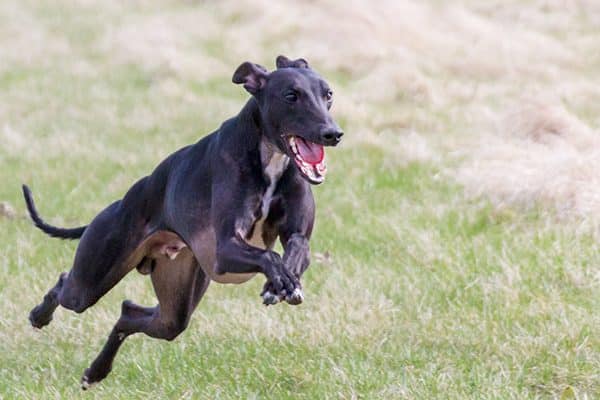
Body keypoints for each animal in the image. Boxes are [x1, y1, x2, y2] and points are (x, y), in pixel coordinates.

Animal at [23, 54, 342, 390]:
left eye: (328, 94)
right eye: (291, 95)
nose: (333, 134)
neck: (268, 158)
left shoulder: (297, 235)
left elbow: (295, 249)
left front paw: (282, 284)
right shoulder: (226, 248)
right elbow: (269, 255)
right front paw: (278, 281)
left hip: (174, 302)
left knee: (130, 313)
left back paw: (96, 371)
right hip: (92, 276)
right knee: (66, 286)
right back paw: (40, 316)